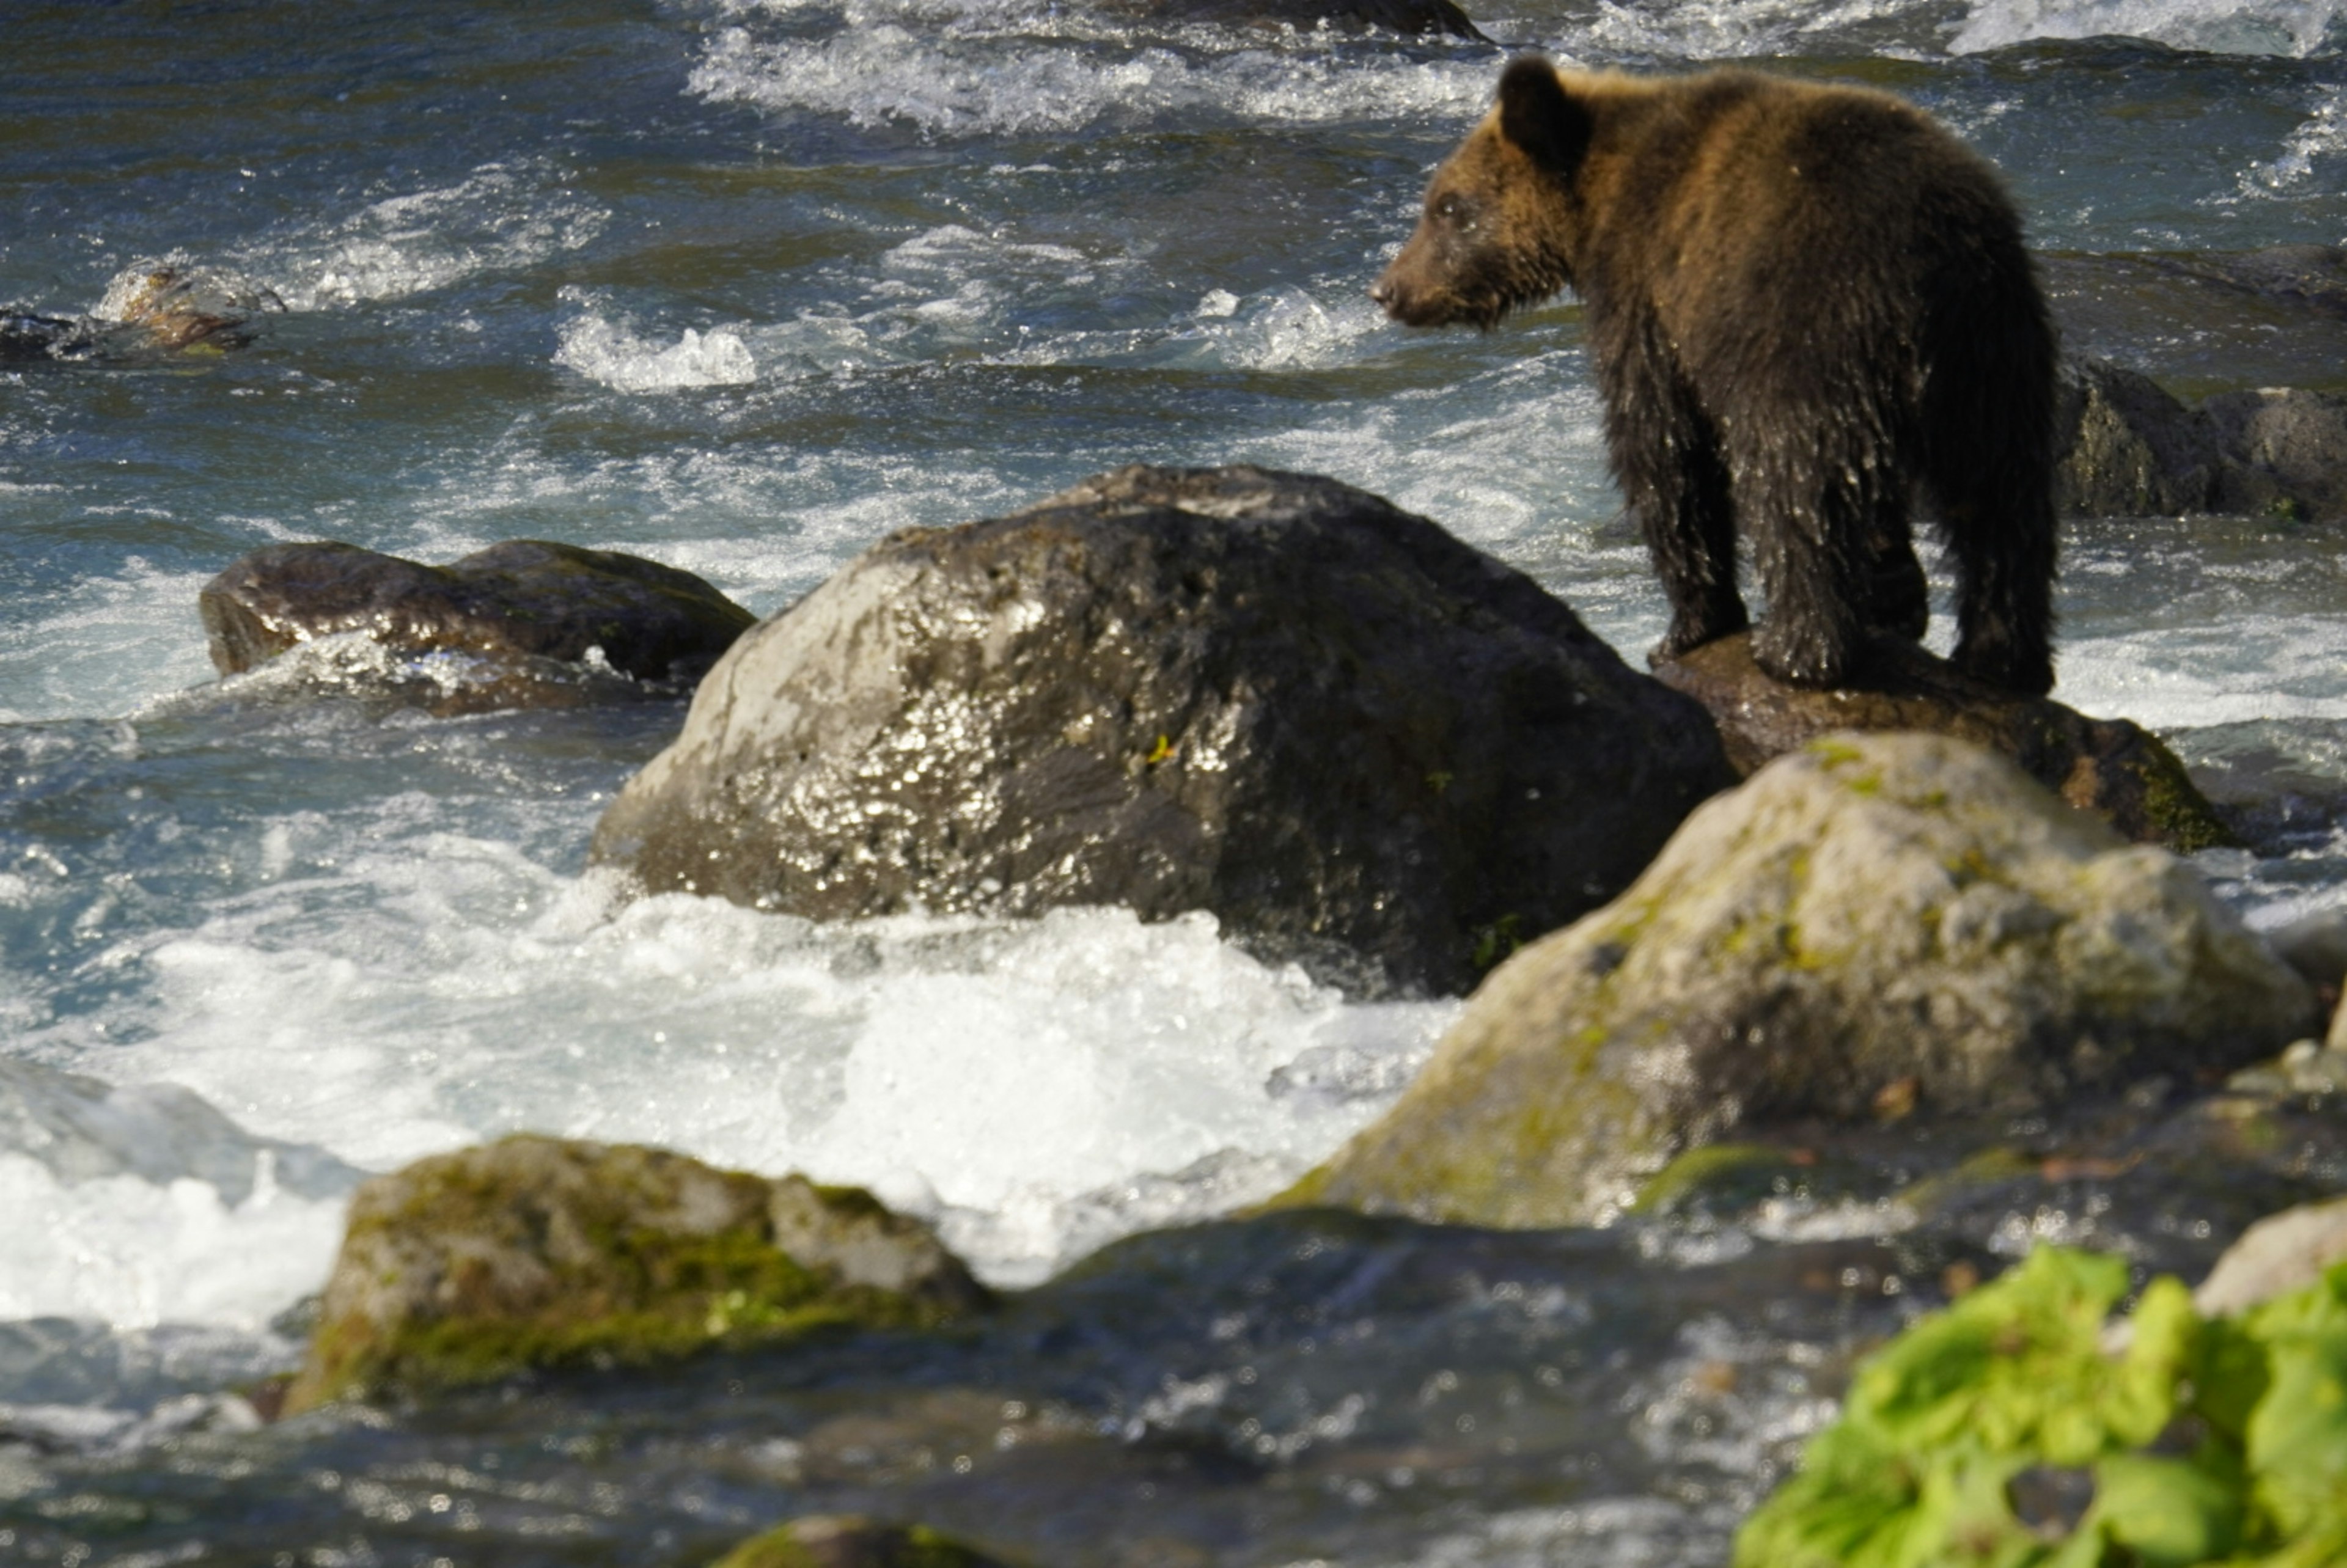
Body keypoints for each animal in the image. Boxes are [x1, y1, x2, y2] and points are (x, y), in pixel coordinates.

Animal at [1370, 58, 2055, 690]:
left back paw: (1794, 650)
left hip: (1808, 330)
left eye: (1448, 207)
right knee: (2002, 500)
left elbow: (1664, 447)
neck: (1598, 200)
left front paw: (1689, 628)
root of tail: (1930, 265)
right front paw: (1895, 597)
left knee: (1795, 483)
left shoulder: (1650, 291)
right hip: (1994, 353)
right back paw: (2001, 659)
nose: (1388, 289)